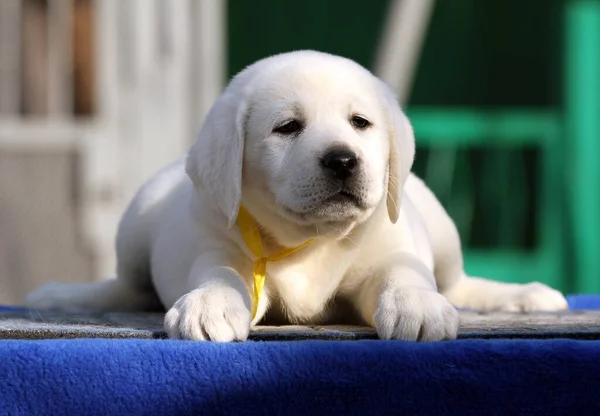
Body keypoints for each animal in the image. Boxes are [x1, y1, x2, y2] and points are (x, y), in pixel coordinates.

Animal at [23, 50, 568, 342]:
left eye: (360, 122)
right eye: (287, 127)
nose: (343, 160)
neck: (312, 238)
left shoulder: (392, 249)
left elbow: (404, 273)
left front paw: (416, 306)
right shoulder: (216, 248)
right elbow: (219, 274)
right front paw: (207, 305)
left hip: (443, 230)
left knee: (457, 283)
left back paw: (523, 294)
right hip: (135, 227)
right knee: (127, 288)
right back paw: (60, 295)